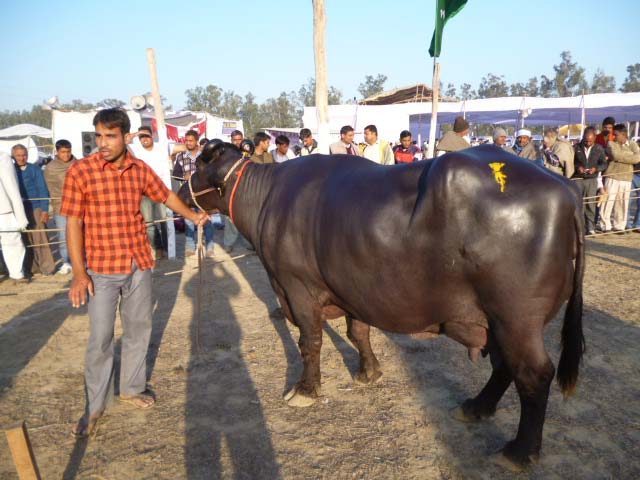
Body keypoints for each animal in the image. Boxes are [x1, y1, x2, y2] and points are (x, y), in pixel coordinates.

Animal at [179, 143, 584, 472]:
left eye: (196, 164)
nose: (180, 192)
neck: (266, 198)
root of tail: (566, 192)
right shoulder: (353, 288)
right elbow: (358, 331)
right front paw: (369, 372)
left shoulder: (297, 288)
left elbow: (310, 342)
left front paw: (305, 390)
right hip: (495, 321)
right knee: (504, 367)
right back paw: (475, 407)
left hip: (517, 319)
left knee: (533, 373)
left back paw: (519, 451)